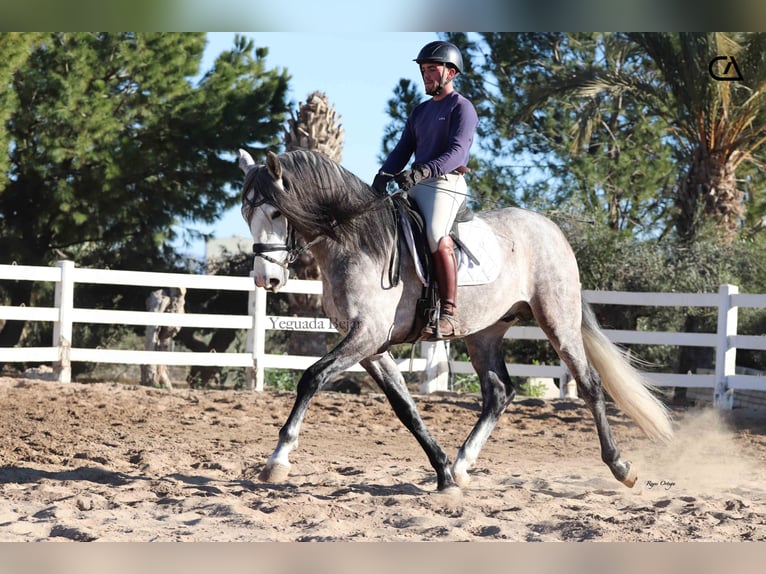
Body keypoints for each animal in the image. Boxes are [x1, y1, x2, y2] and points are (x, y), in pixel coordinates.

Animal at [236, 150, 672, 496]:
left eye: (276, 212)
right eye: (245, 214)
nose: (265, 280)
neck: (356, 241)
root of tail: (550, 228)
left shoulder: (367, 335)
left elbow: (312, 377)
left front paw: (277, 460)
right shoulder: (370, 346)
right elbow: (405, 406)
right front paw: (443, 472)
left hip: (557, 320)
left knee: (590, 384)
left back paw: (621, 467)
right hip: (484, 333)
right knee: (499, 393)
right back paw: (462, 466)